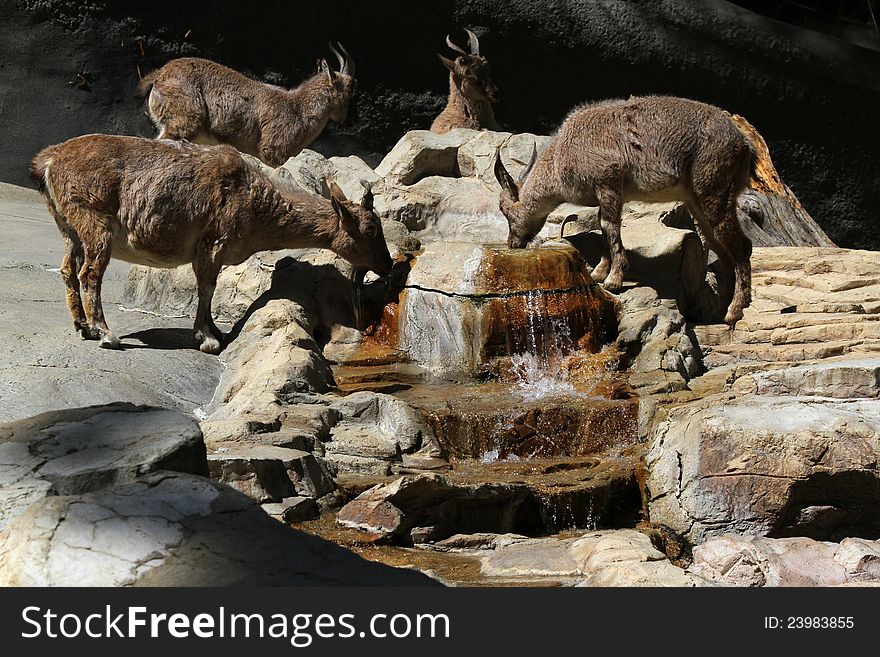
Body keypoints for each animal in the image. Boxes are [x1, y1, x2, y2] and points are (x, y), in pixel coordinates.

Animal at [136, 42, 356, 167]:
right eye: (349, 92)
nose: (350, 121)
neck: (298, 109)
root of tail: (158, 77)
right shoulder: (272, 150)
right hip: (185, 121)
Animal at [496, 95, 756, 326]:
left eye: (504, 210)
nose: (512, 243)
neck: (561, 156)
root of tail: (744, 145)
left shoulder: (608, 179)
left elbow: (610, 227)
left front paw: (613, 280)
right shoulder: (606, 192)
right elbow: (603, 227)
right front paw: (599, 273)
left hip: (714, 189)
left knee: (742, 246)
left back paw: (734, 311)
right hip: (697, 202)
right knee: (723, 252)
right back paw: (718, 311)